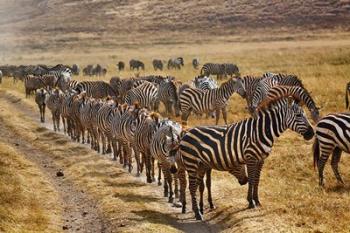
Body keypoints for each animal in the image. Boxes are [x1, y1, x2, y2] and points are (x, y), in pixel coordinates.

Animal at [178, 95, 314, 220]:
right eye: (298, 115)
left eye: (304, 115)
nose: (312, 133)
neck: (261, 131)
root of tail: (186, 133)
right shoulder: (251, 157)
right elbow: (252, 179)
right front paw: (251, 202)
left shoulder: (261, 159)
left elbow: (257, 180)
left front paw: (257, 201)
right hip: (191, 163)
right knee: (192, 186)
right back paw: (197, 214)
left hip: (200, 164)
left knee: (196, 185)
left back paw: (197, 209)